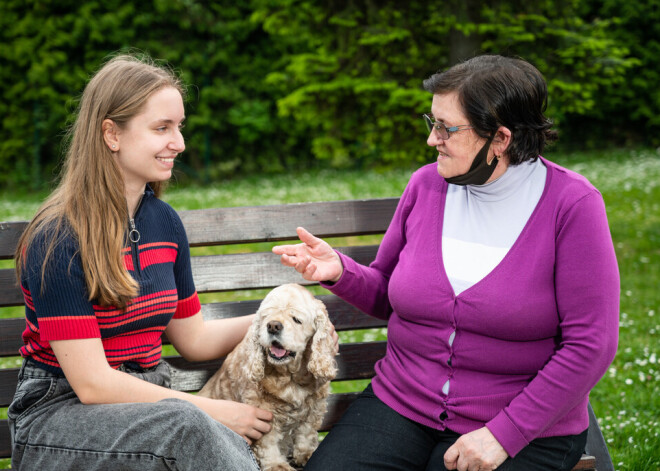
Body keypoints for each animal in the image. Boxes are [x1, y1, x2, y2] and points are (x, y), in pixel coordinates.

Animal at [199, 284, 338, 471]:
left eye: (296, 319)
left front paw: (306, 454)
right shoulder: (262, 411)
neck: (290, 376)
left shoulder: (314, 406)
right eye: (267, 317)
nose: (273, 326)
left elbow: (306, 432)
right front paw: (276, 464)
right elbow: (268, 442)